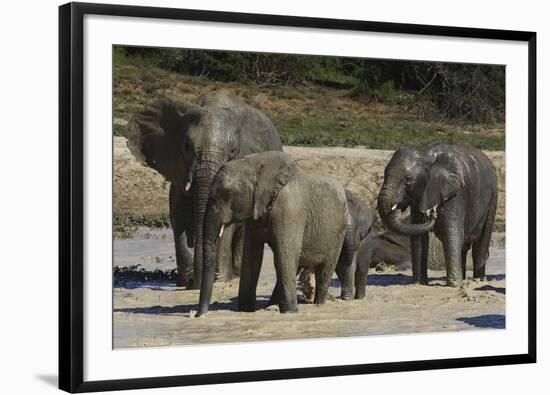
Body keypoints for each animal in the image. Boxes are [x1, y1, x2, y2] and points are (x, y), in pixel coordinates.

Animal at [125, 91, 284, 290]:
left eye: (233, 151)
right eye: (186, 146)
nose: (196, 284)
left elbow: (226, 223)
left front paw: (219, 280)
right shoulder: (179, 169)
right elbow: (178, 216)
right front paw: (186, 282)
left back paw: (235, 274)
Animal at [198, 152, 350, 316]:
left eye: (228, 194)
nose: (199, 315)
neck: (255, 164)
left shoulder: (290, 209)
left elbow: (284, 255)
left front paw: (290, 313)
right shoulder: (255, 213)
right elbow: (252, 257)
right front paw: (246, 311)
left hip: (339, 233)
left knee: (324, 270)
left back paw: (318, 304)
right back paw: (272, 305)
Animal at [380, 143, 500, 288]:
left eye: (408, 180)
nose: (432, 212)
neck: (425, 153)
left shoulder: (456, 191)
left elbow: (452, 232)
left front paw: (454, 286)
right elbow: (419, 237)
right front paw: (419, 284)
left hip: (493, 197)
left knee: (481, 244)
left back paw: (478, 280)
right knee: (464, 246)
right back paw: (464, 278)